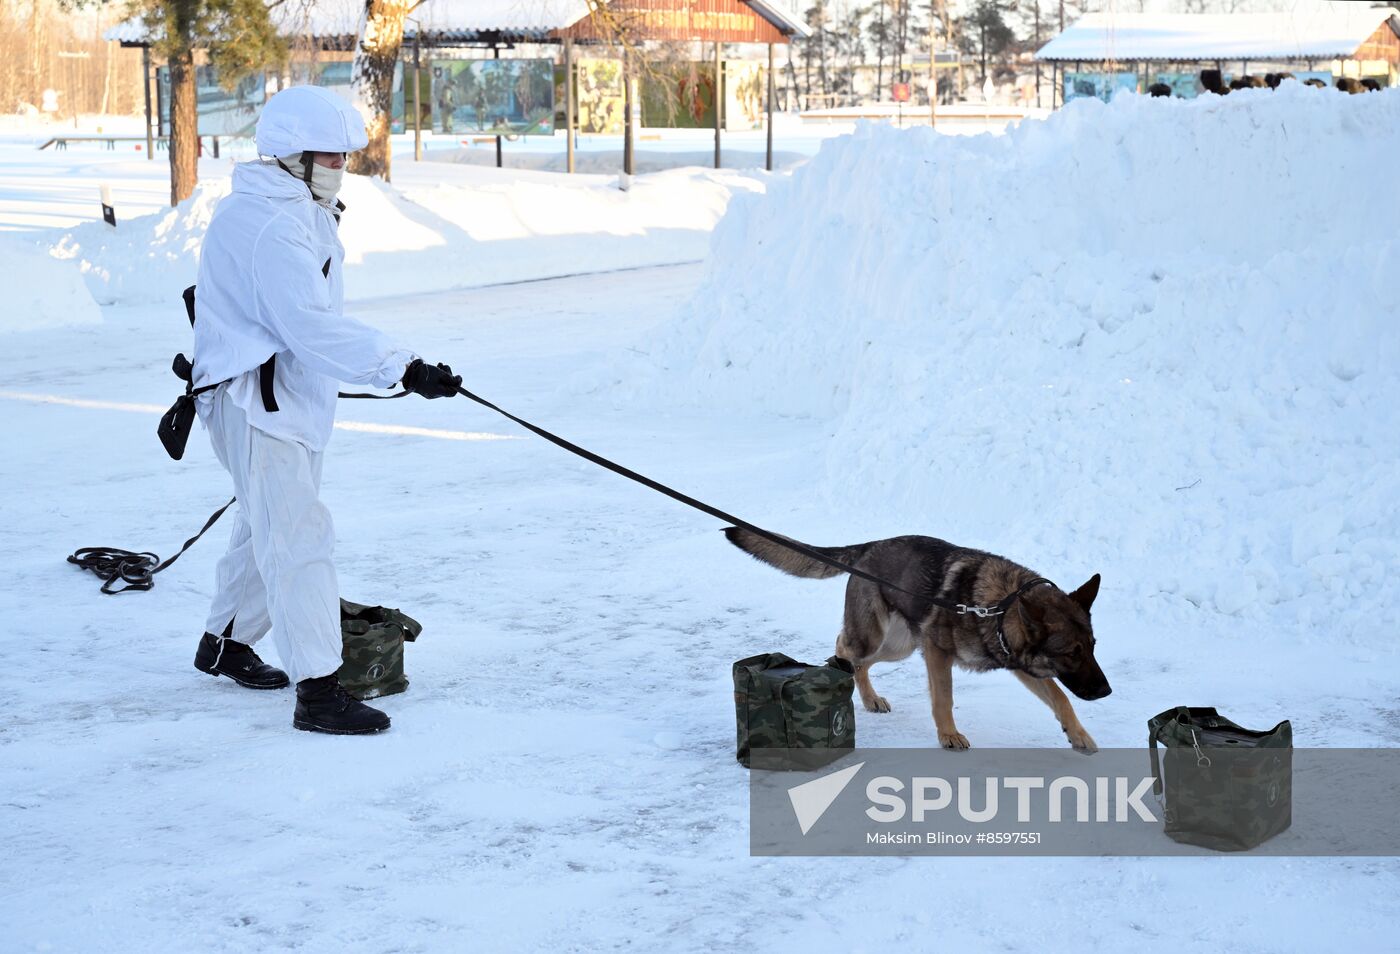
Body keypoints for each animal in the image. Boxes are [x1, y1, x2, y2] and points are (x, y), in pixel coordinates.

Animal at [728, 529, 1108, 750]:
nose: (1107, 692)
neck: (1000, 605)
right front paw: (949, 735)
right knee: (843, 647)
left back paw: (869, 698)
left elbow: (1060, 697)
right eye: (1071, 653)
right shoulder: (938, 654)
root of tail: (870, 547)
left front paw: (1078, 734)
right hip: (875, 638)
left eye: (1091, 647)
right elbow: (944, 699)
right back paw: (851, 683)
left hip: (900, 646)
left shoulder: (1019, 663)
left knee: (859, 661)